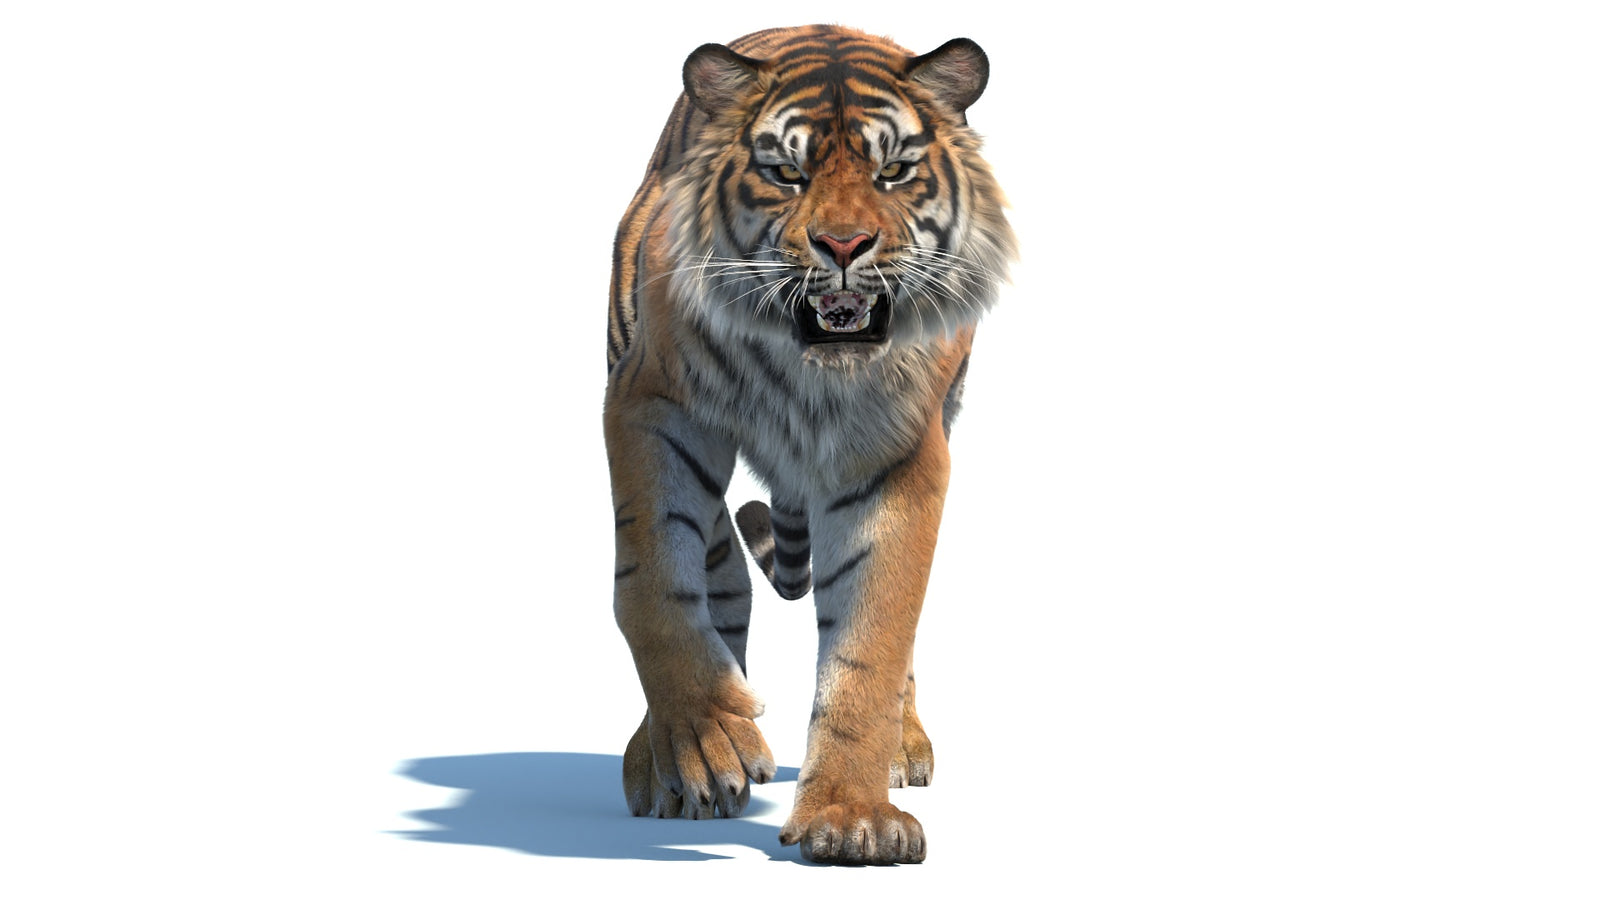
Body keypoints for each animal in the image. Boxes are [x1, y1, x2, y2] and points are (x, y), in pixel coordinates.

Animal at [604, 24, 1016, 864]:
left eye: (894, 172)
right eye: (786, 174)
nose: (844, 244)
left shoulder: (900, 455)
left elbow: (873, 640)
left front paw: (851, 818)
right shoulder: (652, 404)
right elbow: (654, 584)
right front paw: (699, 743)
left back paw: (899, 747)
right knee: (721, 577)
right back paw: (683, 755)